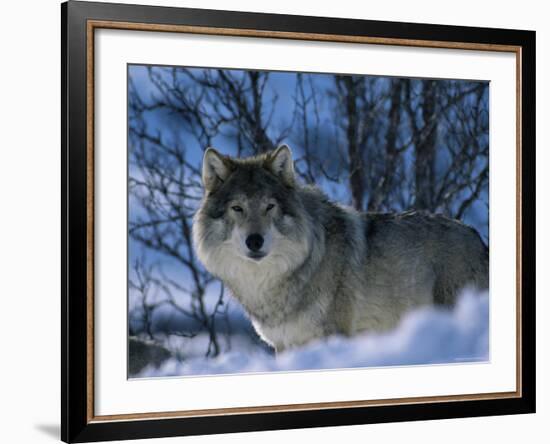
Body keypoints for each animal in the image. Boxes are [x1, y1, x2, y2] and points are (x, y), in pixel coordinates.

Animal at [192, 144, 490, 352]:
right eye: (237, 208)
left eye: (269, 207)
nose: (255, 241)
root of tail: (478, 238)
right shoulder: (284, 345)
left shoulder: (332, 336)